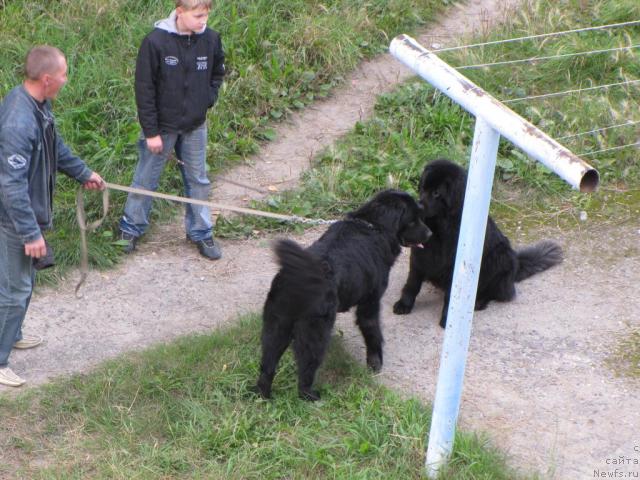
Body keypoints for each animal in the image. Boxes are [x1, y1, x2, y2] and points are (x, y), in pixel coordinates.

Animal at [254, 189, 430, 400]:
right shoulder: (370, 303)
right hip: (316, 331)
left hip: (276, 326)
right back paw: (310, 396)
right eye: (413, 220)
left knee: (267, 365)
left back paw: (263, 395)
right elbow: (373, 333)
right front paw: (375, 363)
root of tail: (299, 275)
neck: (374, 227)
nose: (430, 233)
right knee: (306, 368)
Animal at [392, 159, 564, 328]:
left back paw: (479, 302)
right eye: (422, 188)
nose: (419, 206)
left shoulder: (454, 267)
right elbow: (412, 284)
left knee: (495, 292)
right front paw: (404, 304)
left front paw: (448, 320)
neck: (441, 228)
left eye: (436, 193)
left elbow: (451, 297)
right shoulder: (420, 257)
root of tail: (517, 264)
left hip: (499, 257)